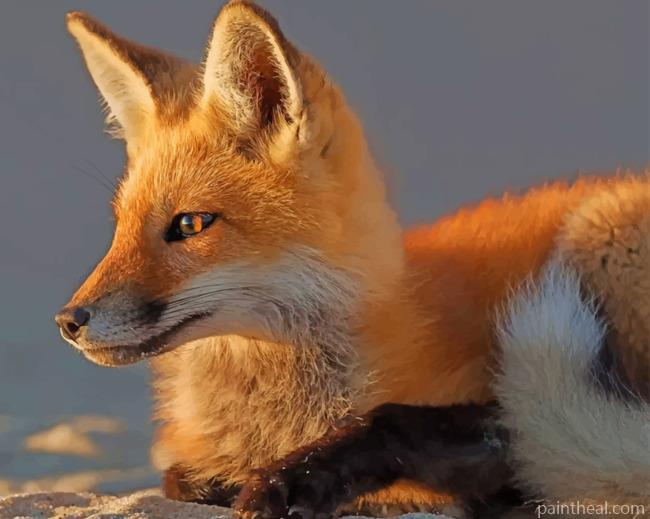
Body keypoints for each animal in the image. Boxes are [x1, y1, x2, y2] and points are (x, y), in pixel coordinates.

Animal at [57, 1, 649, 517]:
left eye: (190, 225)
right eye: (121, 225)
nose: (68, 320)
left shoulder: (504, 415)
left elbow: (392, 422)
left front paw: (289, 482)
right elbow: (180, 478)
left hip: (593, 230)